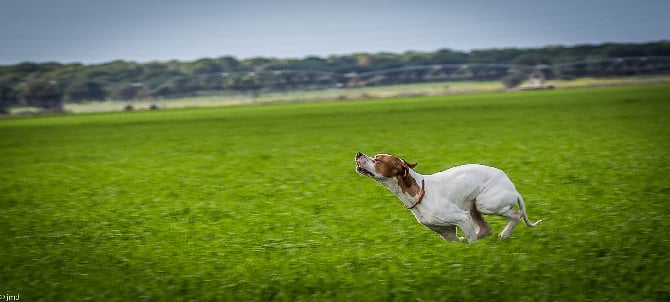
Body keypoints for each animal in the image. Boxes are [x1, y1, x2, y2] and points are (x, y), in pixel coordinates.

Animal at [356, 152, 540, 242]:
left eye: (378, 159)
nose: (358, 153)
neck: (419, 192)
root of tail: (512, 186)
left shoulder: (462, 218)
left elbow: (472, 241)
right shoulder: (447, 233)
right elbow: (458, 241)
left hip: (485, 204)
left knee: (516, 214)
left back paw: (505, 235)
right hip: (473, 206)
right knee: (485, 229)